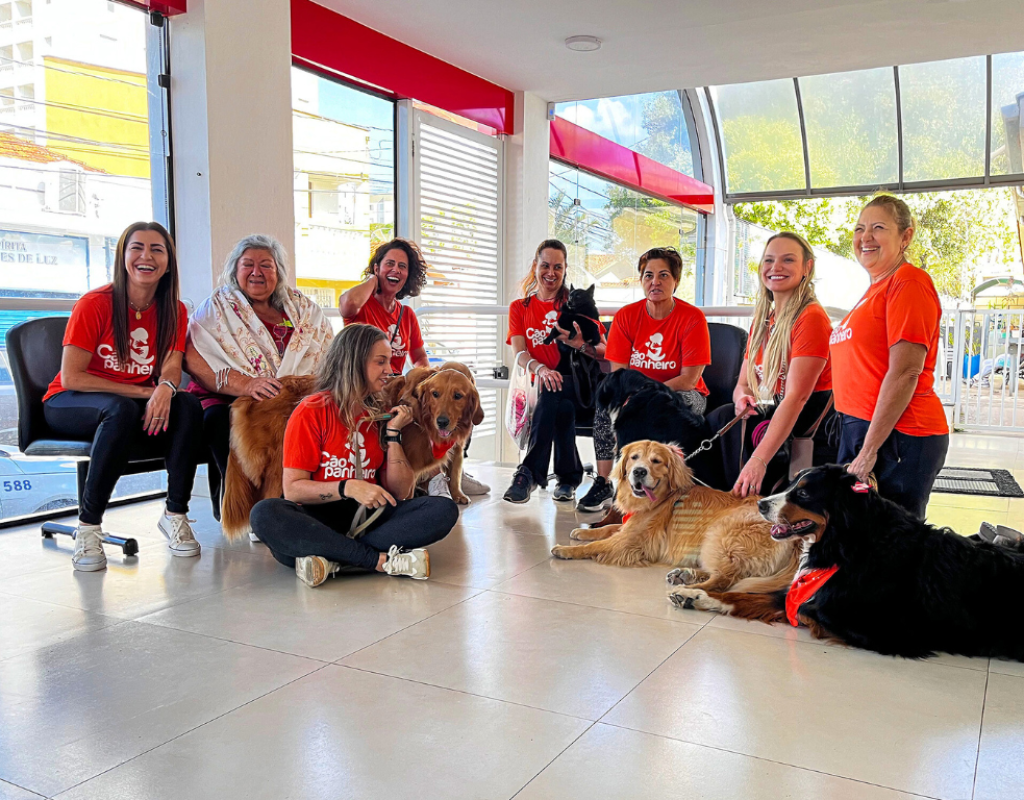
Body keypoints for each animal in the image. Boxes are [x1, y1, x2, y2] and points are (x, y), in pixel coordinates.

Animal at [385, 362, 483, 506]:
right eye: (435, 394)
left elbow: (454, 474)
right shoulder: (412, 461)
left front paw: (457, 495)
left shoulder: (457, 449)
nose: (442, 422)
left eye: (458, 396)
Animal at [548, 436, 802, 594]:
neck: (663, 498)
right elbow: (608, 528)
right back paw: (684, 575)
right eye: (634, 457)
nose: (639, 472)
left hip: (719, 534)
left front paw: (566, 550)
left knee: (727, 579)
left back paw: (689, 591)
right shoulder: (630, 526)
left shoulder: (630, 541)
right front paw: (582, 531)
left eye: (656, 461)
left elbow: (597, 545)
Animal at [667, 460, 1019, 659]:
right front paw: (694, 595)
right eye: (792, 482)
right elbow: (747, 596)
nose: (761, 504)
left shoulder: (887, 631)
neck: (850, 544)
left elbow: (804, 609)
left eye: (803, 493)